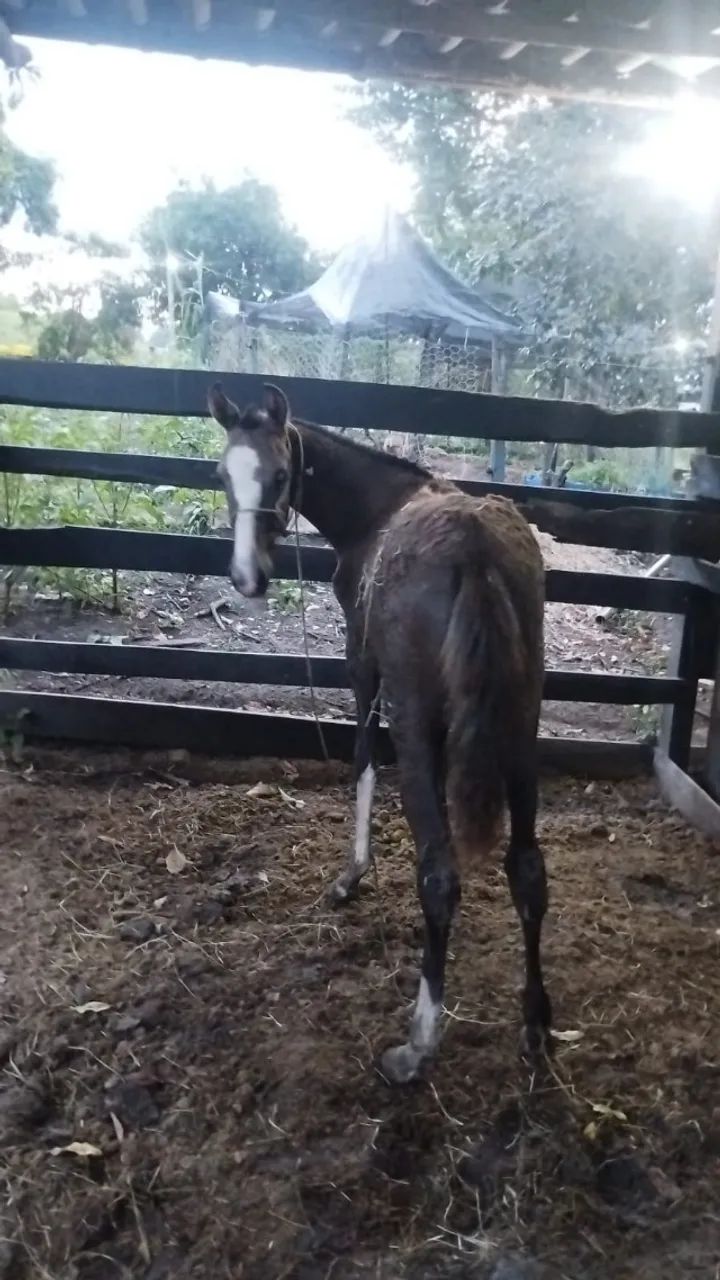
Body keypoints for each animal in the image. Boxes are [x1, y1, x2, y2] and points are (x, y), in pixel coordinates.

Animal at [207, 381, 551, 1083]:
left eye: (279, 475)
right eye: (223, 475)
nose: (248, 578)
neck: (379, 508)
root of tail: (474, 551)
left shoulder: (361, 661)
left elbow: (364, 757)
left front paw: (352, 875)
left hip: (417, 719)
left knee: (440, 876)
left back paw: (418, 1043)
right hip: (519, 728)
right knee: (528, 869)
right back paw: (534, 1024)